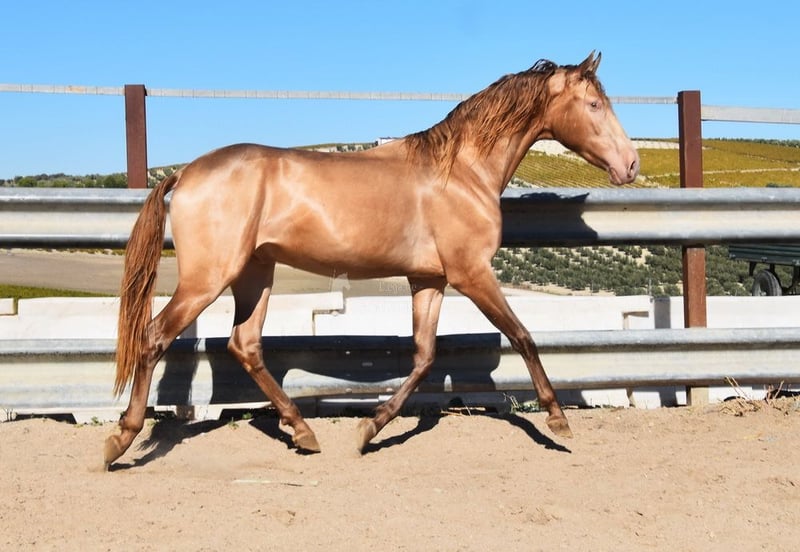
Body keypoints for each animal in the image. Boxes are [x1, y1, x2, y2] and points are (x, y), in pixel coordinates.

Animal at [105, 52, 639, 468]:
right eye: (595, 103)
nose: (630, 165)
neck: (462, 172)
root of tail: (186, 173)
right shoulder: (471, 273)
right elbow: (524, 337)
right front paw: (558, 419)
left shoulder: (428, 280)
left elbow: (424, 357)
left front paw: (369, 430)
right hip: (209, 278)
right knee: (154, 337)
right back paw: (120, 440)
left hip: (255, 273)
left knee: (245, 345)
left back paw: (304, 433)